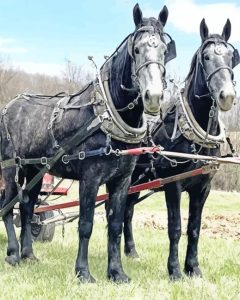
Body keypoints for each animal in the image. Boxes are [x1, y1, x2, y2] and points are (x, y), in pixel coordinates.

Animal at [0, 3, 175, 282]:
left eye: (164, 50)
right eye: (137, 49)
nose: (154, 96)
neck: (105, 116)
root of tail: (9, 106)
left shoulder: (122, 180)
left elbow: (115, 225)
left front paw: (116, 272)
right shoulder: (90, 178)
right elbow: (86, 224)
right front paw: (83, 272)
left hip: (35, 169)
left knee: (27, 207)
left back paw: (29, 254)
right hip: (11, 167)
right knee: (8, 206)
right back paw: (14, 253)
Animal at [123, 18, 239, 282]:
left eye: (231, 56)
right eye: (206, 56)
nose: (227, 96)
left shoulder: (203, 188)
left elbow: (194, 228)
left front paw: (193, 268)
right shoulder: (173, 185)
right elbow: (175, 227)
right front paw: (175, 270)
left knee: (128, 210)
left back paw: (131, 251)